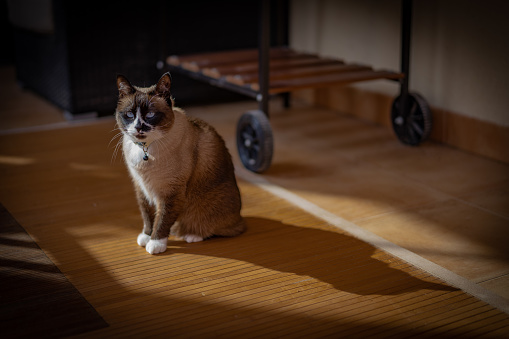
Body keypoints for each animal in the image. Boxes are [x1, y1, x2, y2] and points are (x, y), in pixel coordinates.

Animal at [114, 73, 244, 254]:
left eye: (150, 115)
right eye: (129, 115)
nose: (139, 127)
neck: (145, 149)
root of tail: (240, 218)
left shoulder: (171, 192)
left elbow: (162, 219)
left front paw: (155, 243)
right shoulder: (142, 187)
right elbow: (148, 215)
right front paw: (146, 236)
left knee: (217, 228)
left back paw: (192, 235)